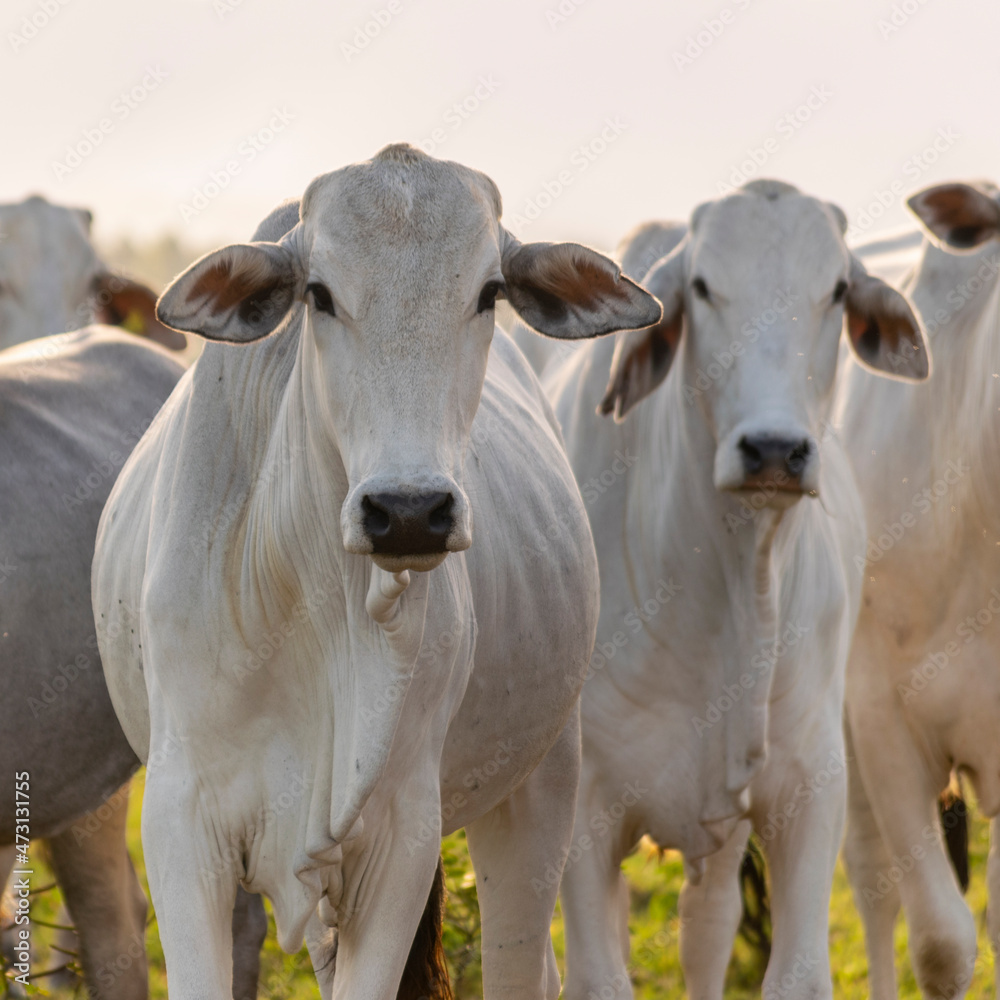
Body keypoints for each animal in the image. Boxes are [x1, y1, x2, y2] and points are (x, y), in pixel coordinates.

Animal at [90, 146, 660, 1000]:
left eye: (489, 293)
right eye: (319, 294)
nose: (410, 510)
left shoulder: (400, 841)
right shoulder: (182, 825)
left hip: (543, 786)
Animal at [540, 180, 928, 1000]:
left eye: (837, 289)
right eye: (702, 287)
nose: (774, 450)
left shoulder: (810, 794)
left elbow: (793, 972)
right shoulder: (584, 813)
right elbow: (598, 974)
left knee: (707, 928)